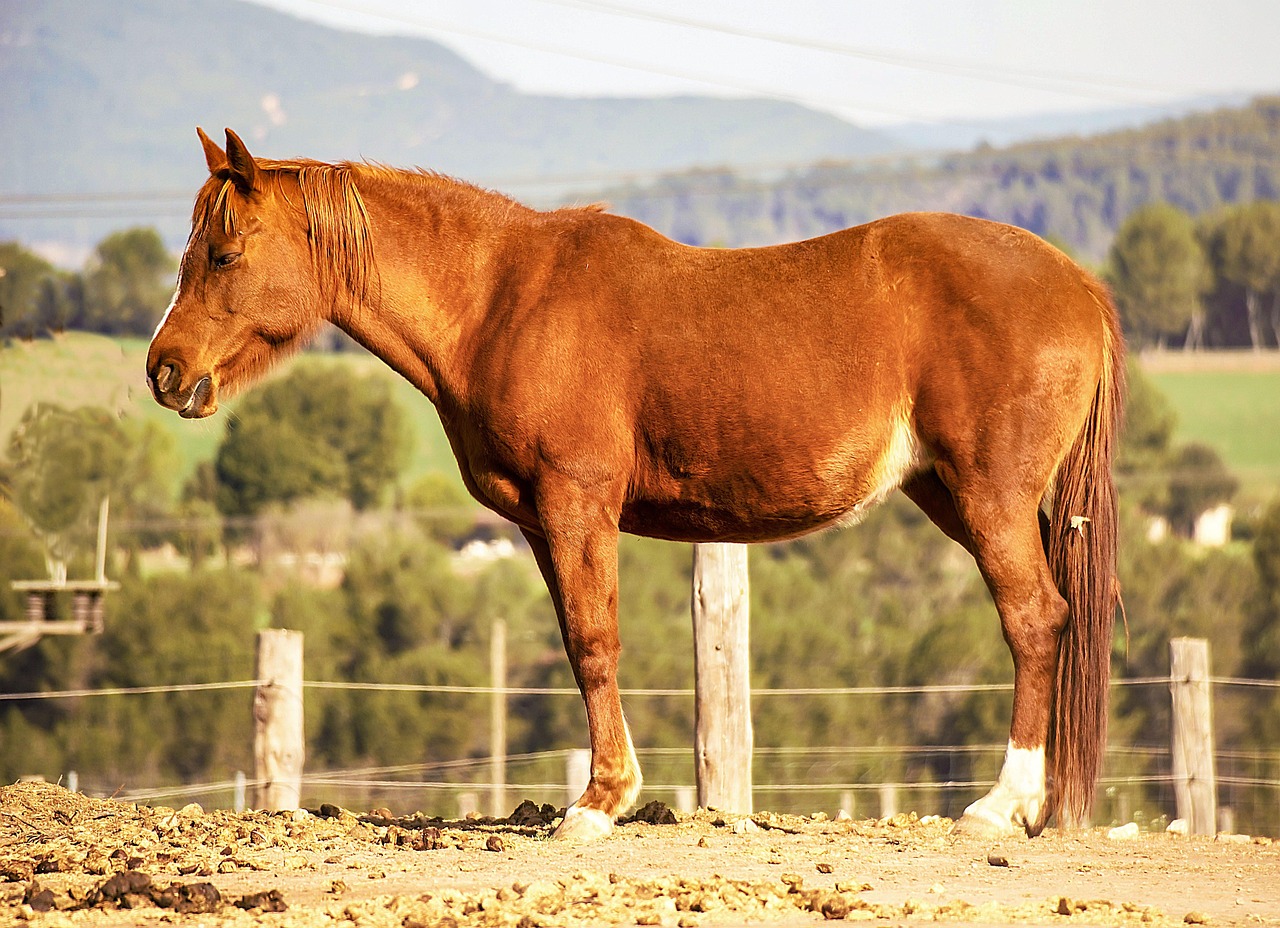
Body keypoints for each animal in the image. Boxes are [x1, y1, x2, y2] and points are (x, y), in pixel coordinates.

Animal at [149, 128, 1122, 841]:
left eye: (223, 254)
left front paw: (599, 802)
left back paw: (1002, 805)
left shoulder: (577, 505)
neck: (503, 298)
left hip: (989, 499)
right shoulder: (541, 523)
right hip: (960, 498)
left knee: (1035, 619)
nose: (164, 371)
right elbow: (580, 643)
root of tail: (1078, 285)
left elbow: (594, 643)